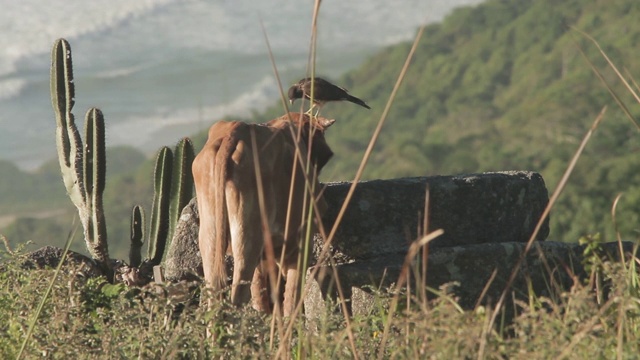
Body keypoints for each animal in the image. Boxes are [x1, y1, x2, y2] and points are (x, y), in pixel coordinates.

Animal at [191, 112, 336, 316]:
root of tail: (236, 130)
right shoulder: (301, 241)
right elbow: (291, 298)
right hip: (248, 238)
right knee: (238, 294)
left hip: (210, 235)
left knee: (217, 291)